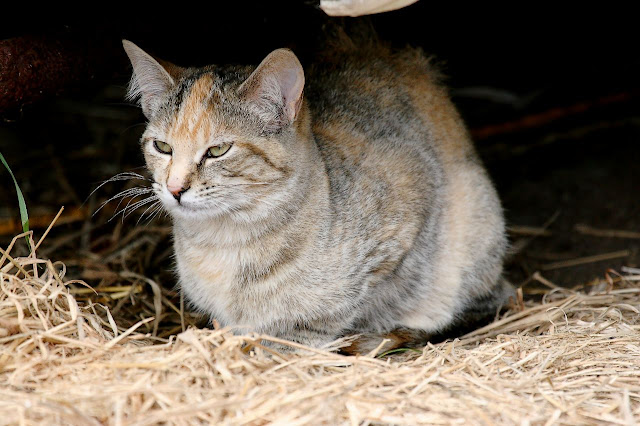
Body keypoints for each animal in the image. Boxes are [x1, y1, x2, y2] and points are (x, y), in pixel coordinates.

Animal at [122, 37, 516, 352]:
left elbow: (337, 313)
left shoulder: (403, 227)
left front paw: (287, 345)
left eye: (218, 150)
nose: (175, 188)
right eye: (162, 147)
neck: (224, 240)